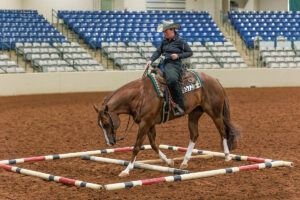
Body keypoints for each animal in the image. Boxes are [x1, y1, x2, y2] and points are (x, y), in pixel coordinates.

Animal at [94, 70, 241, 177]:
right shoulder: (149, 124)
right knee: (194, 135)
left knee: (222, 131)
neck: (140, 95)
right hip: (194, 114)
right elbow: (153, 144)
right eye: (99, 125)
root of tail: (215, 80)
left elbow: (136, 147)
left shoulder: (145, 123)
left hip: (215, 112)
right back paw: (185, 162)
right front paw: (169, 161)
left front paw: (126, 170)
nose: (109, 143)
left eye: (106, 123)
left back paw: (227, 156)